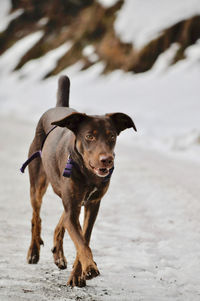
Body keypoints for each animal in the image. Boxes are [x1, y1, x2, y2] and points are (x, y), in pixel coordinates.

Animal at [21, 75, 137, 286]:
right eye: (89, 136)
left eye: (112, 136)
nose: (107, 159)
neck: (88, 173)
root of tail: (59, 107)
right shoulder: (74, 204)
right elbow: (81, 242)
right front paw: (89, 268)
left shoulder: (92, 205)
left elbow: (84, 238)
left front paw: (78, 273)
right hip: (38, 184)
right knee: (36, 216)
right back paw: (33, 251)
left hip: (72, 200)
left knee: (63, 220)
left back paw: (58, 255)